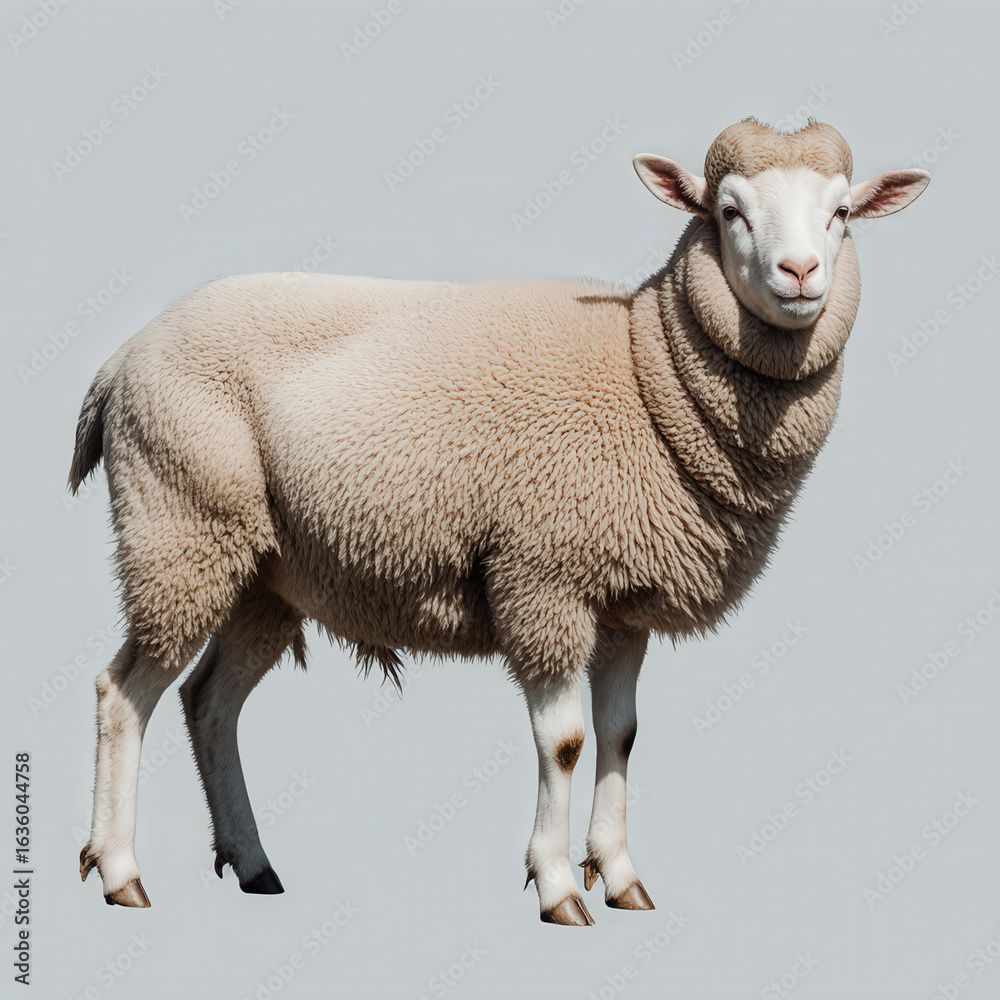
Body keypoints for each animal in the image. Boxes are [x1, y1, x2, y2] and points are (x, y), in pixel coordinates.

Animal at [70, 119, 929, 924]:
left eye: (842, 212)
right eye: (729, 211)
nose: (800, 275)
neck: (645, 374)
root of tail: (121, 360)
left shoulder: (622, 601)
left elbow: (621, 735)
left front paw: (620, 876)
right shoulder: (541, 579)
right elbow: (568, 742)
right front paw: (558, 888)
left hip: (262, 571)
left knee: (209, 702)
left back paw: (253, 864)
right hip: (178, 526)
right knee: (124, 694)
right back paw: (120, 873)